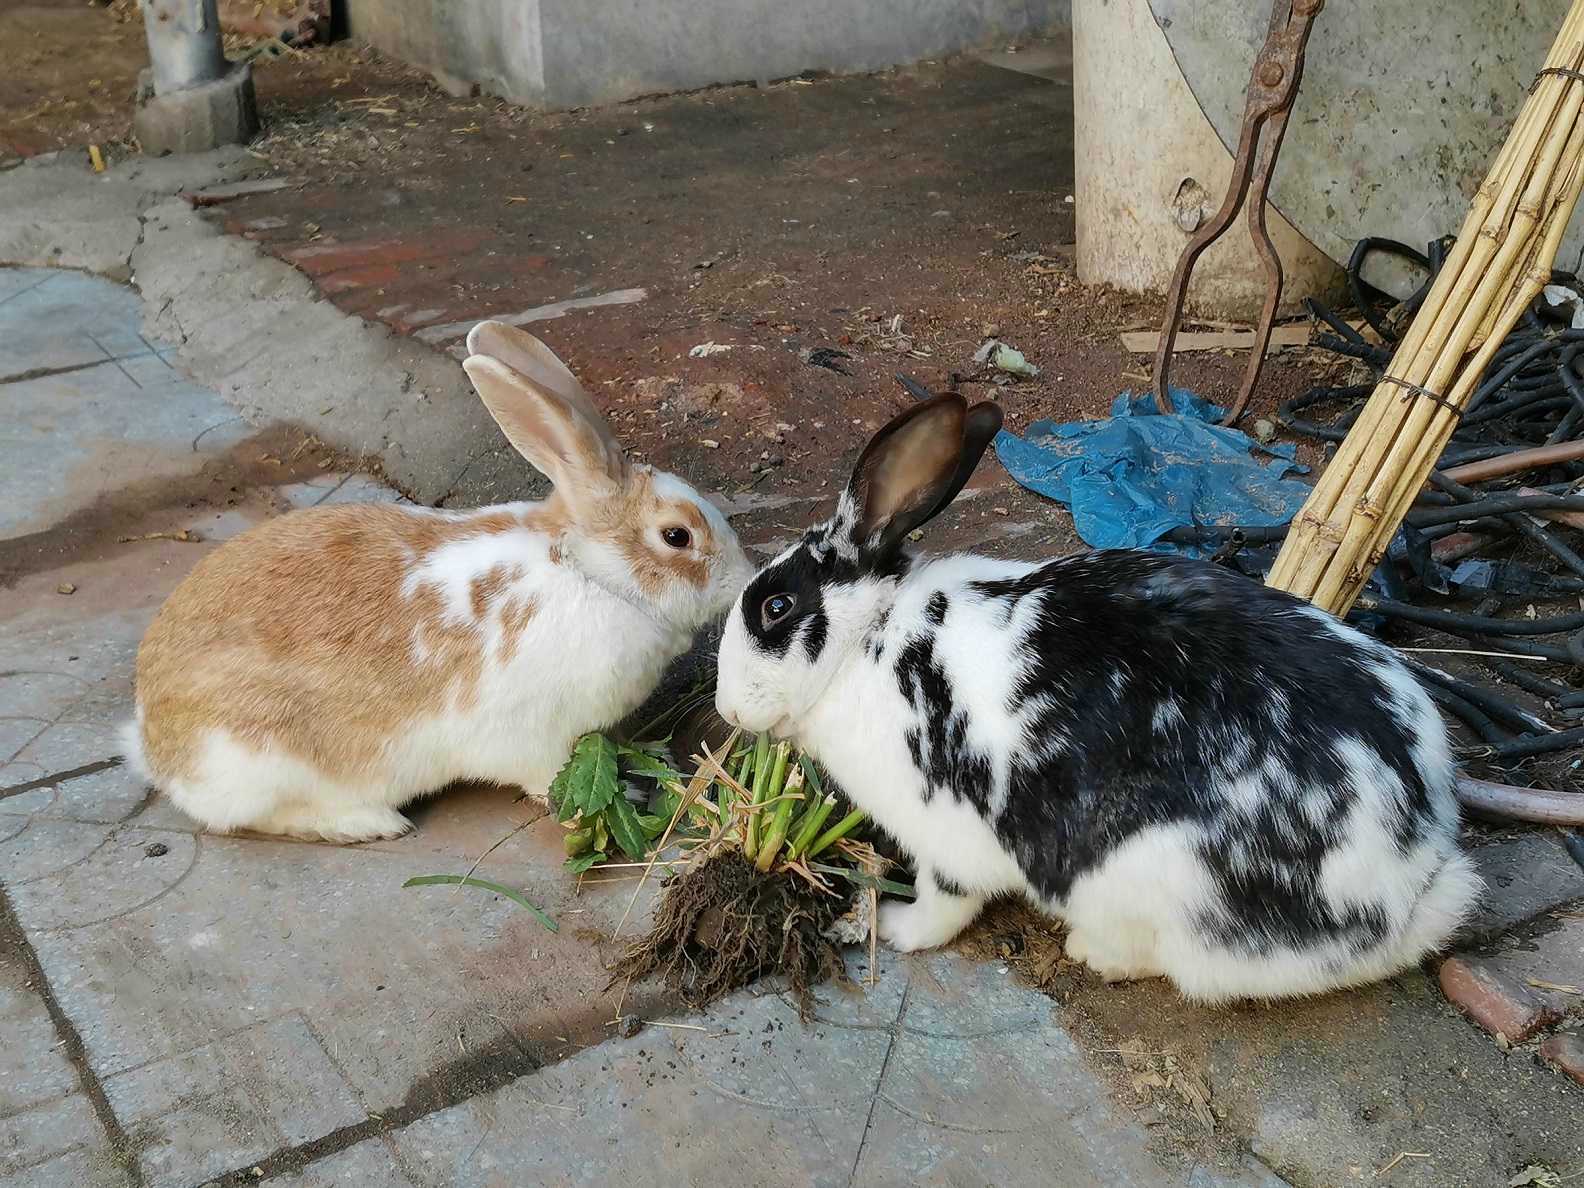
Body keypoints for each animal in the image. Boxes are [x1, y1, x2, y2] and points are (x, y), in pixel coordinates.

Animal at [123, 321, 753, 842]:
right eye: (677, 536)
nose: (746, 580)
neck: (589, 571)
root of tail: (154, 741)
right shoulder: (538, 738)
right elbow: (547, 782)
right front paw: (621, 796)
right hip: (262, 759)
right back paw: (369, 824)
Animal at [712, 392, 1476, 1007]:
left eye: (775, 607)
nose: (724, 709)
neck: (868, 637)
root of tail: (1413, 884)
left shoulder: (944, 838)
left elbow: (945, 905)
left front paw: (898, 930)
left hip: (1146, 887)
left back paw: (1091, 953)